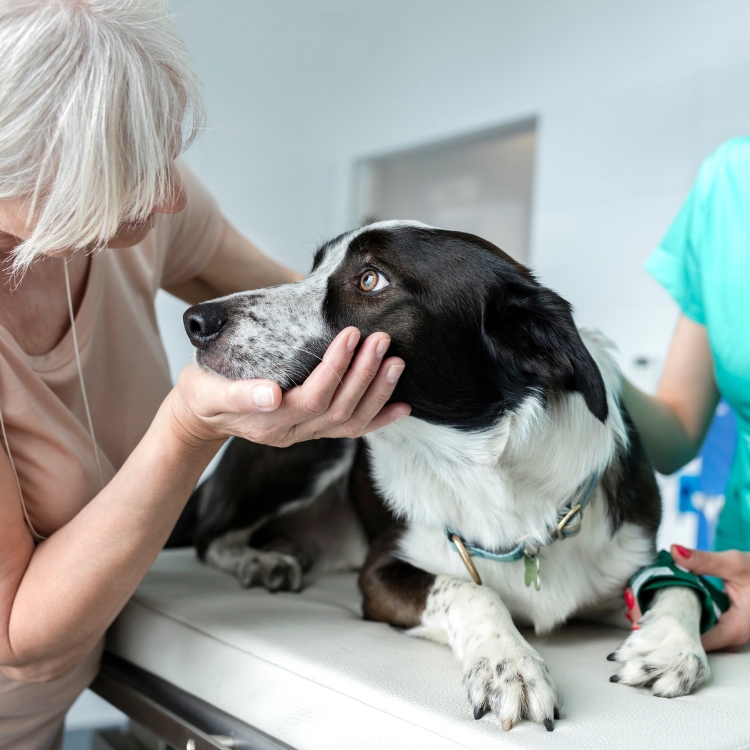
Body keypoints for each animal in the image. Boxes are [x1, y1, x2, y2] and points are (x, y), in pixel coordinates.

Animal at [175, 222, 712, 736]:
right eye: (314, 268)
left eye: (370, 279)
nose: (196, 321)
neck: (488, 474)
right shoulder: (380, 573)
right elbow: (472, 590)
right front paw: (508, 663)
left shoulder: (632, 558)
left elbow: (683, 581)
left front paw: (671, 646)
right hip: (311, 450)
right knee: (207, 537)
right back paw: (260, 560)